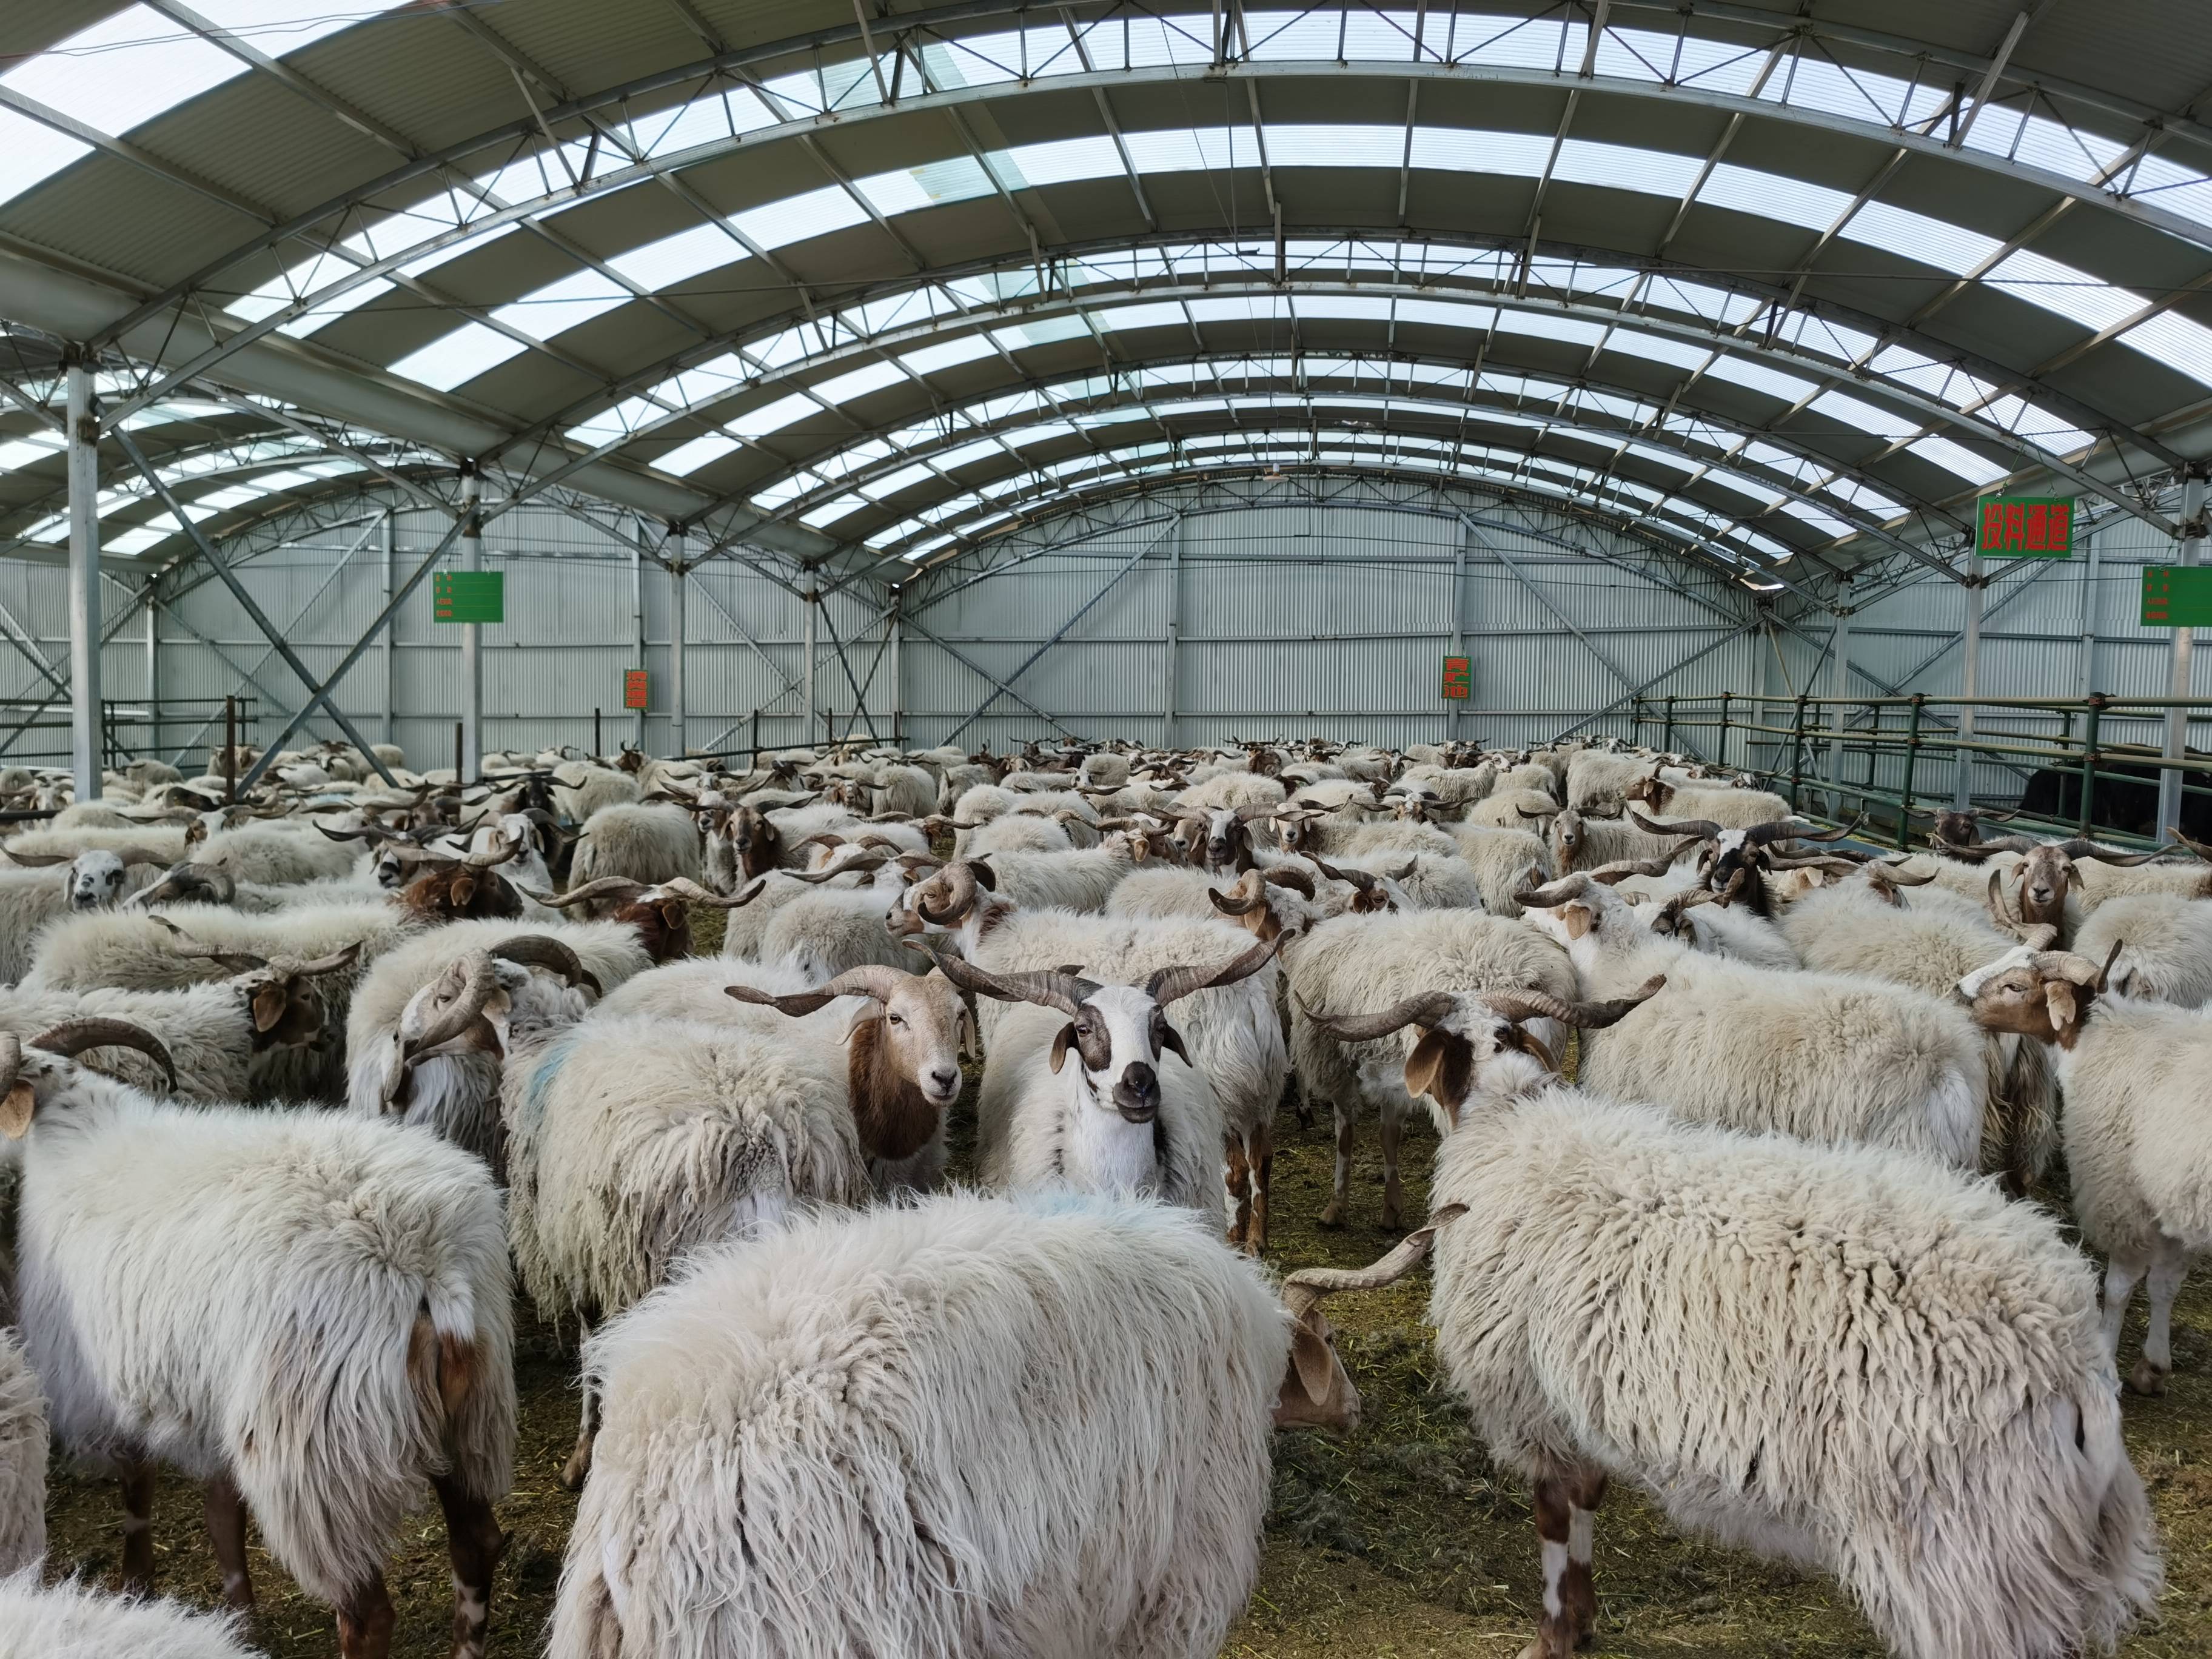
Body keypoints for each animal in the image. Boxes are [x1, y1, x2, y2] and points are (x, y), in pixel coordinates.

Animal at [6, 1022, 513, 1654]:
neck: (70, 1128)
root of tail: (427, 1267)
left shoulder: (112, 1385)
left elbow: (137, 1492)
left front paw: (135, 1584)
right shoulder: (207, 1398)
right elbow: (222, 1516)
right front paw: (238, 1623)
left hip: (319, 1460)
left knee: (366, 1613)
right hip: (470, 1421)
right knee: (478, 1544)